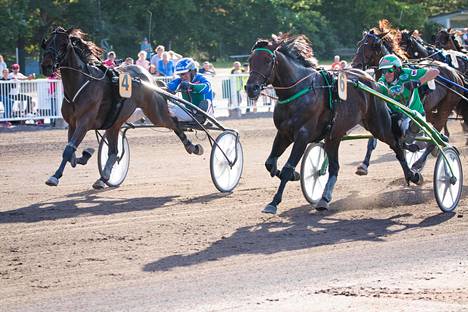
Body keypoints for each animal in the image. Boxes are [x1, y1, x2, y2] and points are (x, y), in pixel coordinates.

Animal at [43, 27, 204, 188]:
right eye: (46, 43)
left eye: (63, 44)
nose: (46, 66)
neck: (80, 84)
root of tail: (148, 77)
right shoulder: (72, 124)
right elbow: (71, 154)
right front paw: (86, 154)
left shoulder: (84, 122)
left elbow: (69, 149)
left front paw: (55, 176)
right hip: (114, 123)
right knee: (114, 152)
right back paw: (103, 177)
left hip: (155, 112)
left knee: (174, 122)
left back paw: (192, 147)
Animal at [245, 34, 424, 214]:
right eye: (250, 60)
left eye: (268, 60)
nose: (251, 88)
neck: (298, 91)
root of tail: (373, 81)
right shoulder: (283, 133)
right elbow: (270, 163)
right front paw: (293, 175)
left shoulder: (302, 135)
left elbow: (288, 167)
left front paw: (274, 202)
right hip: (334, 135)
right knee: (334, 167)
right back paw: (324, 198)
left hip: (378, 125)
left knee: (396, 146)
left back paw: (413, 175)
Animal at [352, 25, 464, 174]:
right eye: (359, 44)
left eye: (373, 45)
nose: (355, 66)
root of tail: (456, 73)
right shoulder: (378, 113)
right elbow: (373, 140)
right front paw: (364, 165)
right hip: (431, 110)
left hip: (445, 107)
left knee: (434, 134)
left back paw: (419, 162)